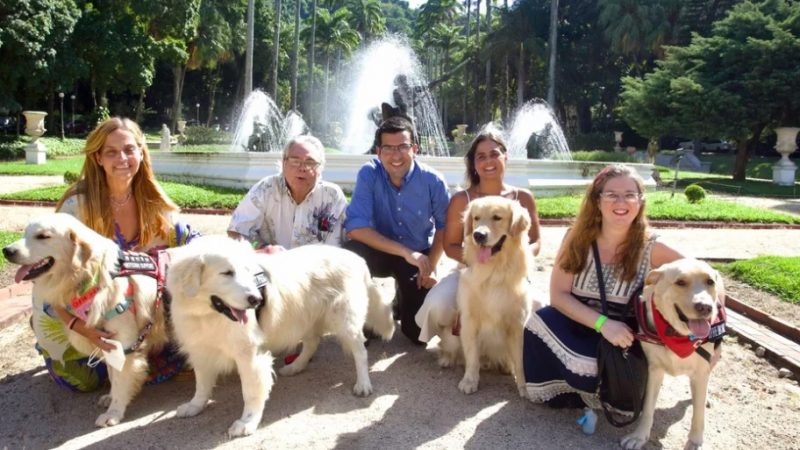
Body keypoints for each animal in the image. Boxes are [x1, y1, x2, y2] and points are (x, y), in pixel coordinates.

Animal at [1, 214, 167, 426]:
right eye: (25, 233)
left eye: (43, 236)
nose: (7, 251)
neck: (89, 277)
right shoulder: (107, 342)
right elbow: (112, 374)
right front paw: (110, 398)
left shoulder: (124, 342)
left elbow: (120, 378)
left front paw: (114, 412)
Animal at [167, 237, 396, 438]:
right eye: (227, 273)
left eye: (247, 271)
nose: (256, 299)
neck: (207, 315)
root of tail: (356, 258)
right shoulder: (200, 350)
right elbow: (202, 384)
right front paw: (195, 405)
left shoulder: (250, 356)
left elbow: (250, 392)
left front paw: (247, 422)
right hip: (306, 317)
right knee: (311, 343)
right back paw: (296, 366)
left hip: (345, 321)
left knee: (360, 352)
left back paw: (363, 384)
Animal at [456, 198, 536, 398]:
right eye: (476, 218)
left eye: (497, 217)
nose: (478, 235)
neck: (493, 272)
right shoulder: (469, 320)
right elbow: (472, 356)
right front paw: (469, 380)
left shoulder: (517, 324)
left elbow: (520, 360)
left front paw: (524, 386)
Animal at [620, 258, 728, 450]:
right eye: (680, 282)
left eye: (710, 281)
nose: (705, 307)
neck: (677, 335)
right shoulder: (654, 370)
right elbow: (648, 407)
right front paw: (639, 436)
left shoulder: (701, 373)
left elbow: (698, 414)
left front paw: (695, 441)